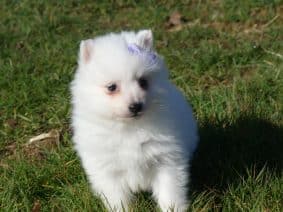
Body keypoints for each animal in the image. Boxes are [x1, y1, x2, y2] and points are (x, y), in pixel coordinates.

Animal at [71, 29, 200, 212]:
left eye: (143, 82)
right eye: (111, 87)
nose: (136, 106)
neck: (130, 127)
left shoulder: (167, 159)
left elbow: (170, 189)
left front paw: (173, 208)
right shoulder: (107, 169)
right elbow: (117, 197)